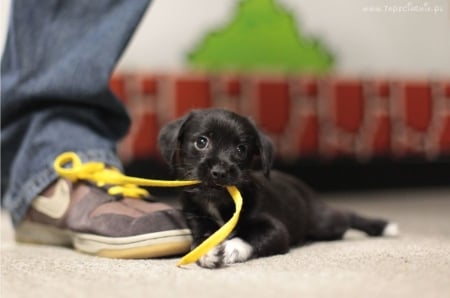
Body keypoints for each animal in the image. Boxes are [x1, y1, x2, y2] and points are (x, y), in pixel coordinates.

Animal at [158, 108, 398, 268]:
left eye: (241, 149)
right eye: (201, 142)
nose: (220, 171)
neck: (218, 203)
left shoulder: (277, 230)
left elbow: (252, 237)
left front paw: (232, 248)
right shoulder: (197, 218)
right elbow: (202, 238)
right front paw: (207, 252)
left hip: (324, 223)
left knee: (345, 217)